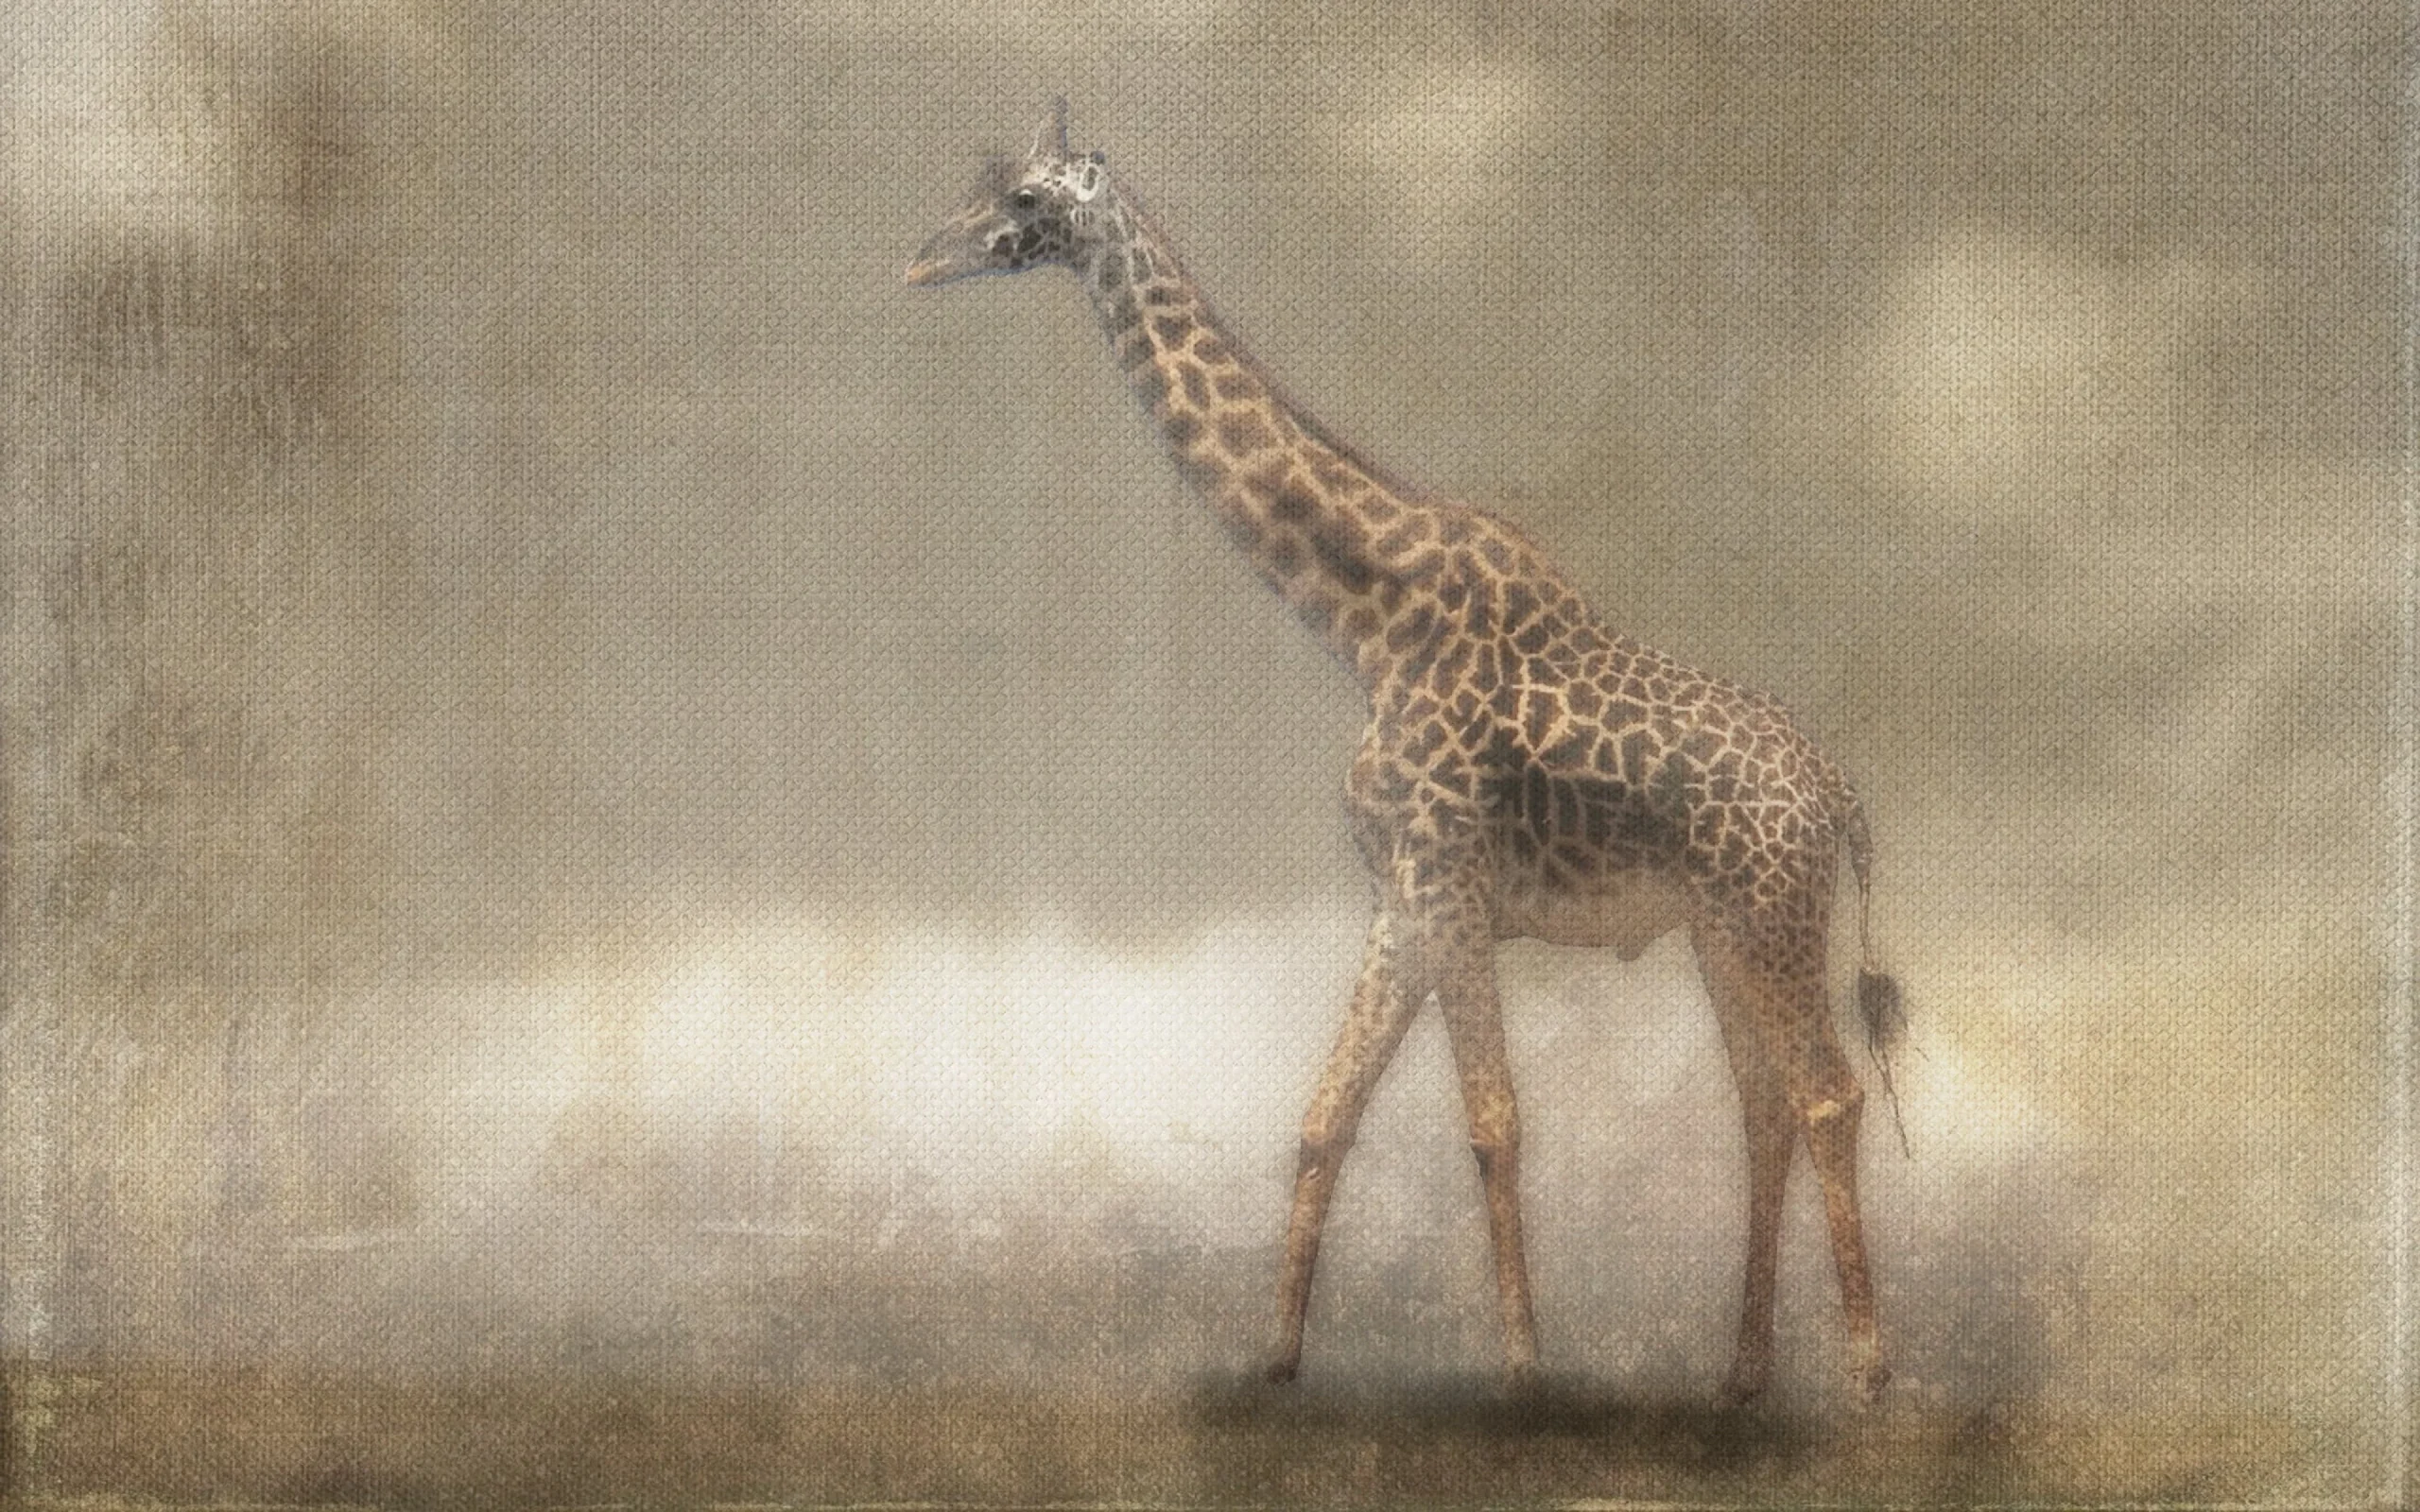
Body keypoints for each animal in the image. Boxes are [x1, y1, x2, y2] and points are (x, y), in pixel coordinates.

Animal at [906, 100, 1898, 1405]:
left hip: (1772, 914)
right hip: (1723, 928)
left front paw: (1522, 1370)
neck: (1363, 623)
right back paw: (1737, 1376)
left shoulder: (1450, 880)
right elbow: (1326, 1113)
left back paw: (1866, 1374)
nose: (923, 259)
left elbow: (1492, 1120)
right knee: (1765, 1105)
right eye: (981, 183)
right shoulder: (1404, 897)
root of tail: (1839, 796)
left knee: (1827, 1093)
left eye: (1023, 198)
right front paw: (1277, 1354)